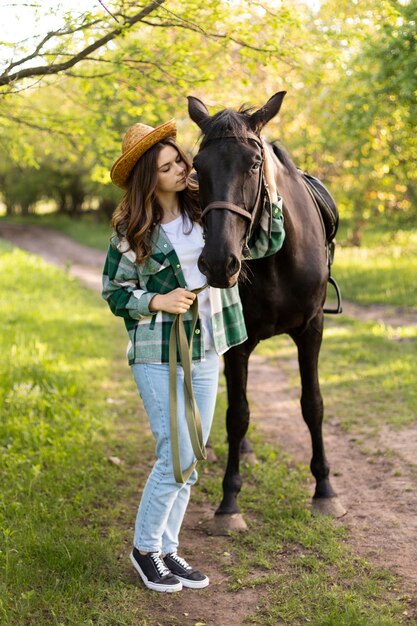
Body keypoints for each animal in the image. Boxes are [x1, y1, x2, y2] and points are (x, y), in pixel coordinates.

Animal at [188, 92, 344, 532]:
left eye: (254, 164)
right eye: (197, 166)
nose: (218, 263)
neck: (275, 257)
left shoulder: (312, 328)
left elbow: (313, 405)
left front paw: (324, 490)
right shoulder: (238, 341)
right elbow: (237, 413)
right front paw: (229, 503)